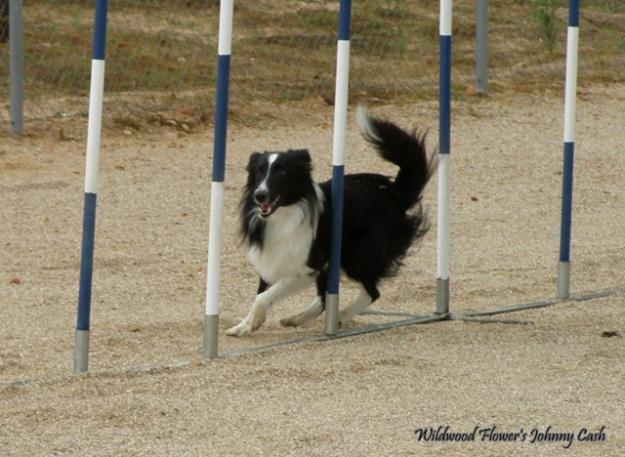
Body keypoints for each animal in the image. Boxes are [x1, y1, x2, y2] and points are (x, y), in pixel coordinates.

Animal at [225, 107, 434, 334]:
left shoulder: (307, 267)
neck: (286, 212)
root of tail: (394, 194)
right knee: (326, 297)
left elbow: (263, 297)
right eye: (259, 171)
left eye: (282, 172)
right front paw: (244, 325)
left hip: (355, 257)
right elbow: (261, 293)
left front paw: (250, 324)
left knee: (371, 292)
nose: (259, 195)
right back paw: (297, 318)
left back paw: (340, 318)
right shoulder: (274, 257)